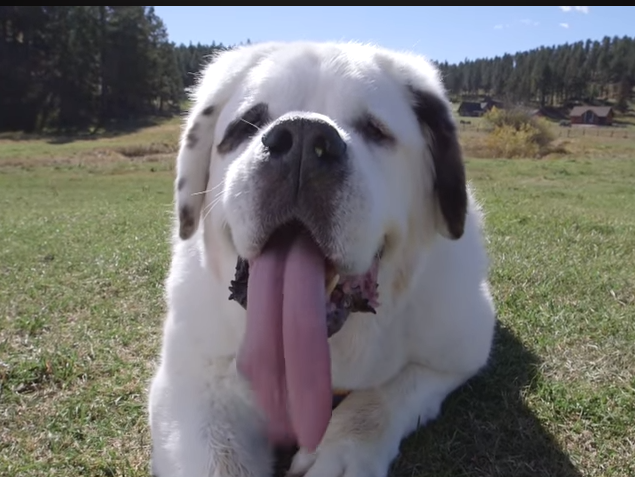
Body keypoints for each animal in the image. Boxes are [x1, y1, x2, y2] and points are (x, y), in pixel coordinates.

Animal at [148, 41, 496, 476]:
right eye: (247, 125)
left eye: (375, 130)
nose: (302, 137)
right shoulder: (191, 374)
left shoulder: (457, 353)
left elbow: (387, 392)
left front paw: (341, 449)